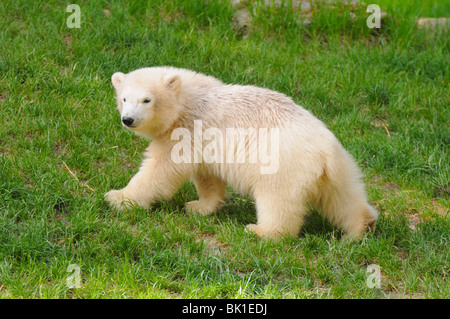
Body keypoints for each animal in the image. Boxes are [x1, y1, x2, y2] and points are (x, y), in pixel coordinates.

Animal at [104, 66, 376, 239]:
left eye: (147, 100)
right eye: (124, 98)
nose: (128, 119)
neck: (189, 99)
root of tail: (324, 149)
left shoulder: (185, 131)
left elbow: (158, 171)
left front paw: (118, 197)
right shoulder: (203, 142)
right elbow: (207, 176)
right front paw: (199, 206)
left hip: (282, 165)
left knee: (277, 201)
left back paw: (261, 231)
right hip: (338, 170)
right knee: (343, 198)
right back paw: (360, 228)